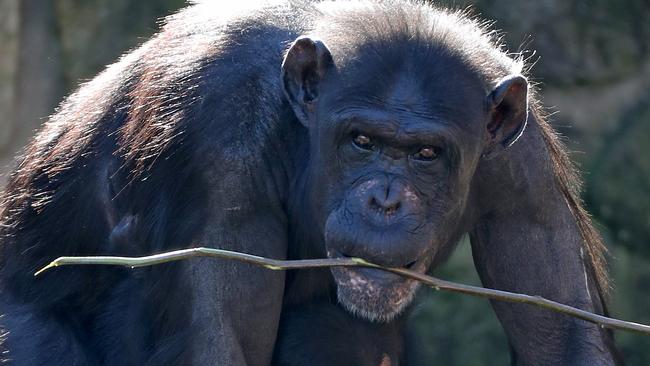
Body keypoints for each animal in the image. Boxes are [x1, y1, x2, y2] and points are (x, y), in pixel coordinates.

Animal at [0, 0, 616, 366]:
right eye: (361, 142)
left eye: (426, 154)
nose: (385, 201)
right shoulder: (215, 141)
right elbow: (220, 337)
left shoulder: (524, 173)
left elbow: (562, 327)